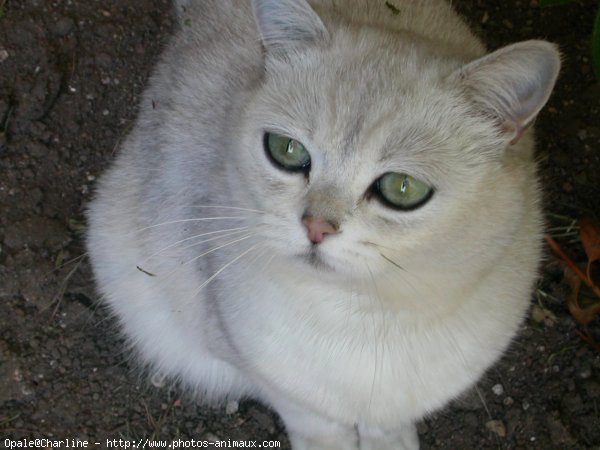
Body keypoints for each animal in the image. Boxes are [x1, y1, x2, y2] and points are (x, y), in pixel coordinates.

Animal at [86, 1, 560, 448]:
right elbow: (309, 416)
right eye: (287, 150)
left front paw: (391, 442)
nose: (316, 226)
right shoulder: (249, 360)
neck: (362, 319)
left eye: (402, 188)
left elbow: (386, 421)